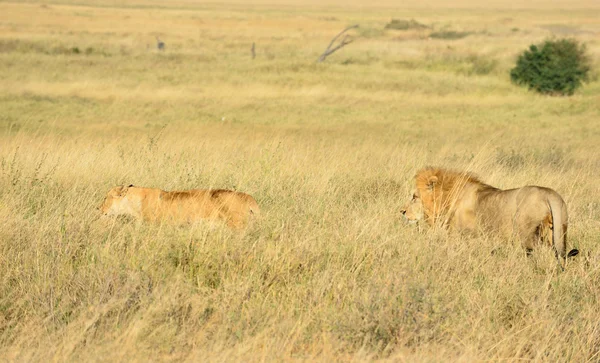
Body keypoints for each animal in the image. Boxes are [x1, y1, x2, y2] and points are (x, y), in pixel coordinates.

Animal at [400, 168, 580, 268]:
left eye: (415, 197)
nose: (402, 211)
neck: (449, 198)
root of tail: (550, 194)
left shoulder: (461, 236)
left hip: (527, 235)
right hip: (556, 231)